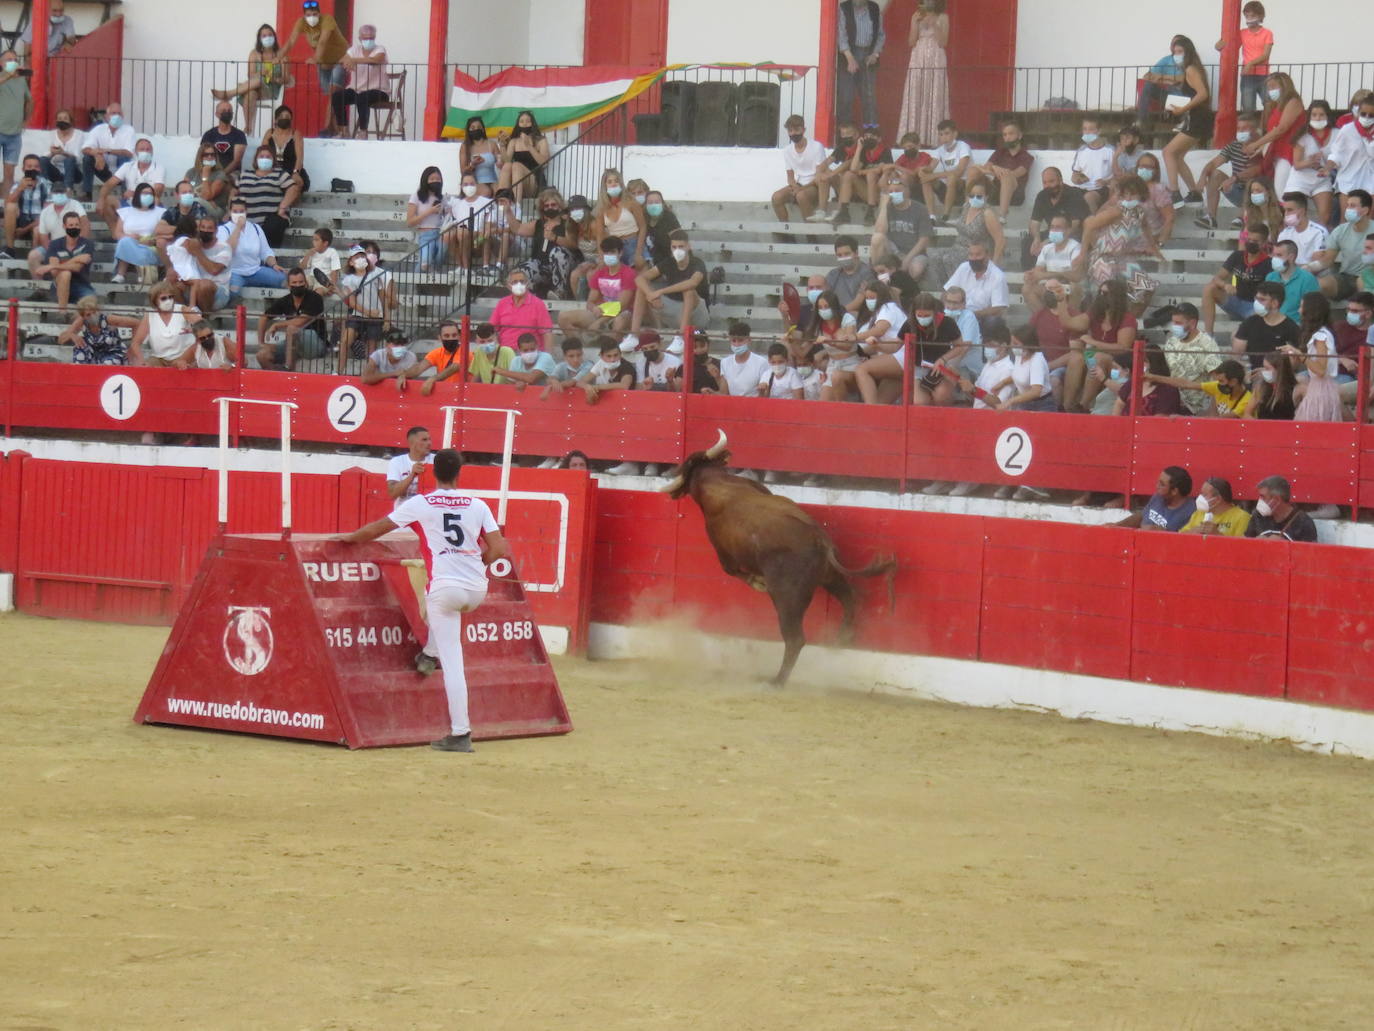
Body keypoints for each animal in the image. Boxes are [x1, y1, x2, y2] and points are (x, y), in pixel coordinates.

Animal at [659, 428, 895, 687]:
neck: (717, 482)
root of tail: (819, 539)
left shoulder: (722, 550)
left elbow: (731, 570)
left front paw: (758, 582)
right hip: (829, 576)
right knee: (849, 597)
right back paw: (842, 638)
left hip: (787, 598)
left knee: (795, 638)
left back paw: (778, 681)